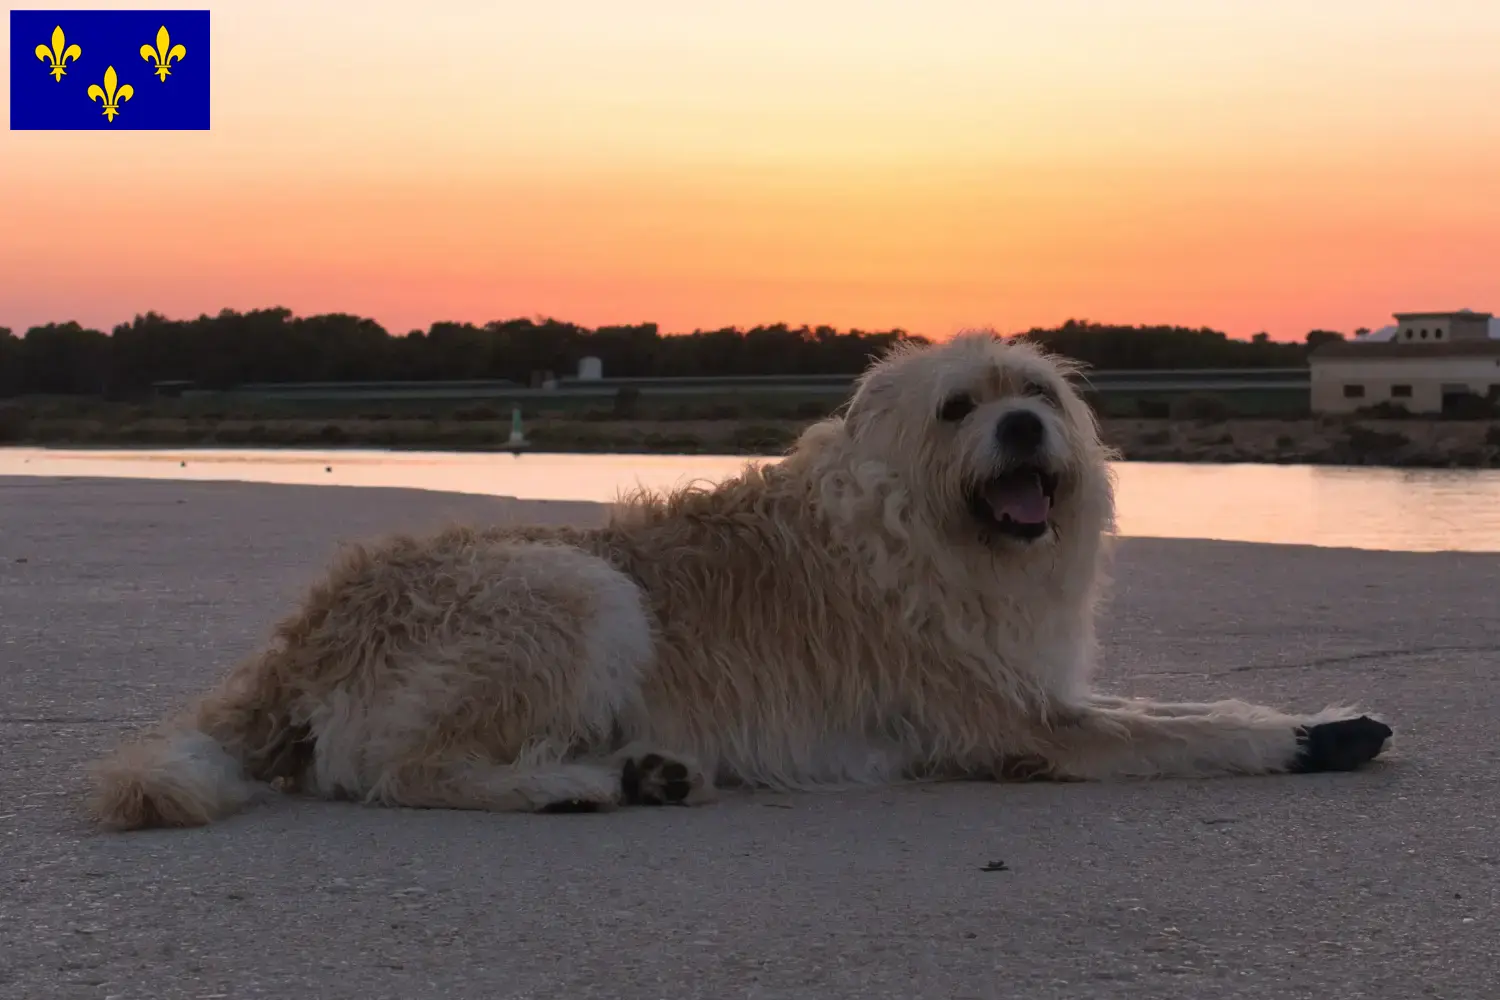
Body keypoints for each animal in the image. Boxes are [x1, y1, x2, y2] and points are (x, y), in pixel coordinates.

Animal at [85, 332, 1392, 833]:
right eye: (958, 408)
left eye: (1038, 393)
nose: (1025, 429)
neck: (925, 523)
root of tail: (301, 634)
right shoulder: (1021, 722)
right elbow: (1188, 728)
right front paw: (1294, 739)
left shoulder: (1037, 684)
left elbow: (1172, 705)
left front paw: (1326, 720)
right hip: (578, 590)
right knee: (395, 771)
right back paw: (576, 785)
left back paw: (639, 770)